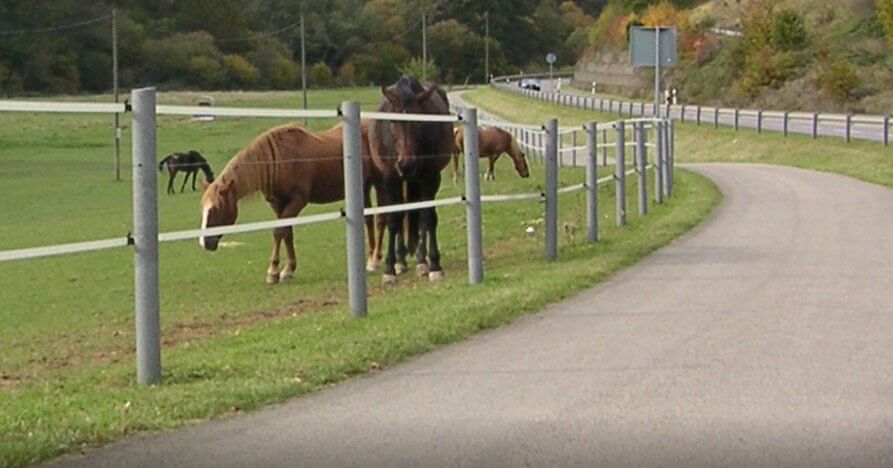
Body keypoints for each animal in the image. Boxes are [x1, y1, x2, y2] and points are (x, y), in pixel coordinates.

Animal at [200, 120, 378, 284]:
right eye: (202, 208)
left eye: (216, 208)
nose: (205, 243)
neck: (278, 160)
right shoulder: (278, 203)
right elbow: (287, 233)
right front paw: (288, 269)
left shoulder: (297, 201)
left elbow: (279, 231)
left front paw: (273, 272)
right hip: (364, 188)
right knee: (369, 219)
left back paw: (374, 261)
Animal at [368, 75, 456, 284]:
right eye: (393, 121)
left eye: (419, 121)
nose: (406, 164)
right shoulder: (390, 179)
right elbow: (394, 220)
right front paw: (389, 269)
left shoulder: (430, 178)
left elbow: (428, 217)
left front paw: (434, 265)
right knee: (402, 215)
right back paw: (400, 260)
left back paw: (421, 261)